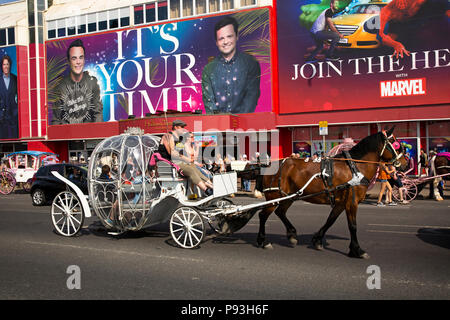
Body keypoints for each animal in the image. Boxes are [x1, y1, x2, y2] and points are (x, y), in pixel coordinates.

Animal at [256, 127, 408, 258]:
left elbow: (330, 221)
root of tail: (268, 165)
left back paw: (291, 234)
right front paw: (357, 250)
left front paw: (317, 240)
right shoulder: (352, 202)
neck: (355, 168)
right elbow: (353, 226)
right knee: (263, 215)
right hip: (275, 197)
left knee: (280, 212)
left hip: (288, 197)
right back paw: (263, 240)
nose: (406, 163)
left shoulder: (341, 203)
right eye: (395, 144)